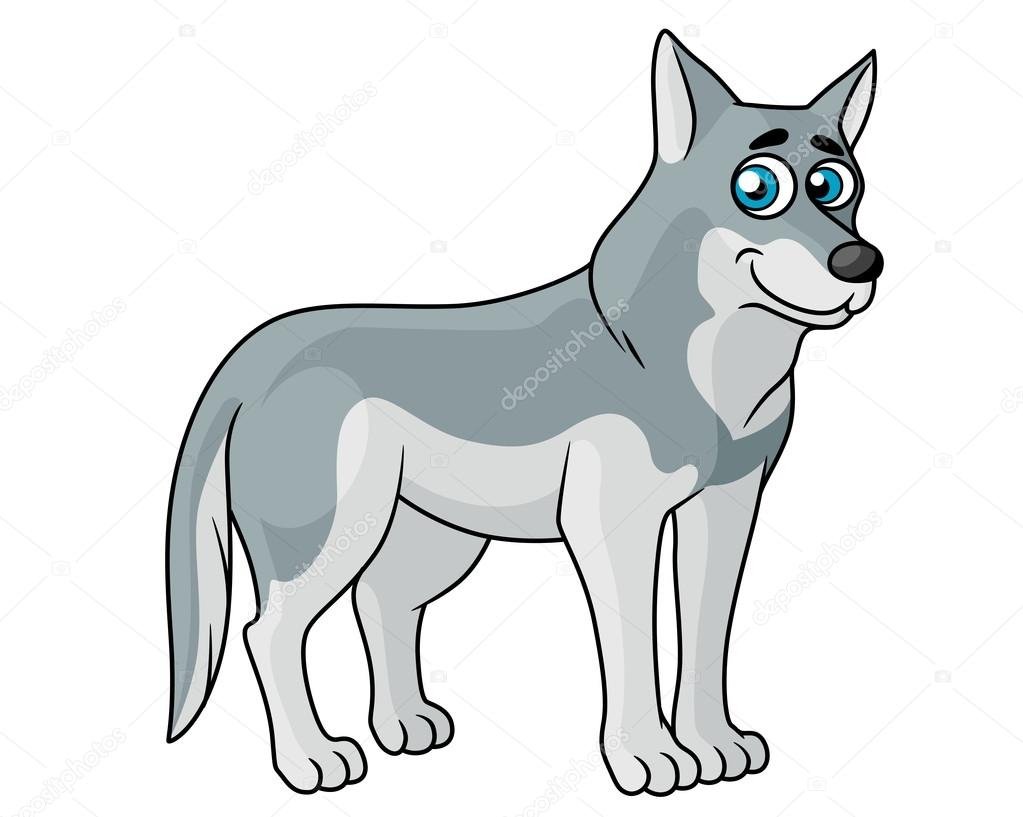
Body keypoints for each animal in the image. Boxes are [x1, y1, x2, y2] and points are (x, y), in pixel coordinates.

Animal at [165, 30, 882, 796]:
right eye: (757, 188)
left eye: (836, 185)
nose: (860, 262)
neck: (714, 371)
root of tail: (254, 348)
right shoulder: (613, 527)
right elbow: (635, 650)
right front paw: (648, 758)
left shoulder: (726, 510)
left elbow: (704, 636)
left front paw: (715, 746)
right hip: (329, 540)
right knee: (267, 630)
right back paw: (311, 759)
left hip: (436, 541)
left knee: (380, 602)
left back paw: (403, 726)